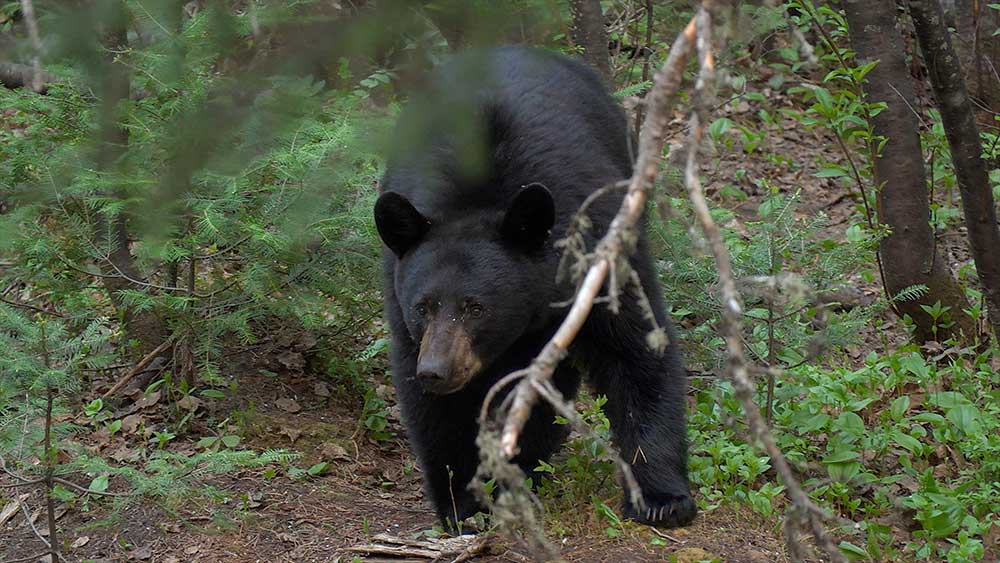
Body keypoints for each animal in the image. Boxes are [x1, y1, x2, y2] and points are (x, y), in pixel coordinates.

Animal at [373, 45, 696, 531]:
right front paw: (465, 502)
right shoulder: (403, 308)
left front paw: (661, 497)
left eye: (475, 307)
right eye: (423, 306)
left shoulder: (598, 244)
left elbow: (634, 347)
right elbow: (435, 411)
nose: (437, 370)